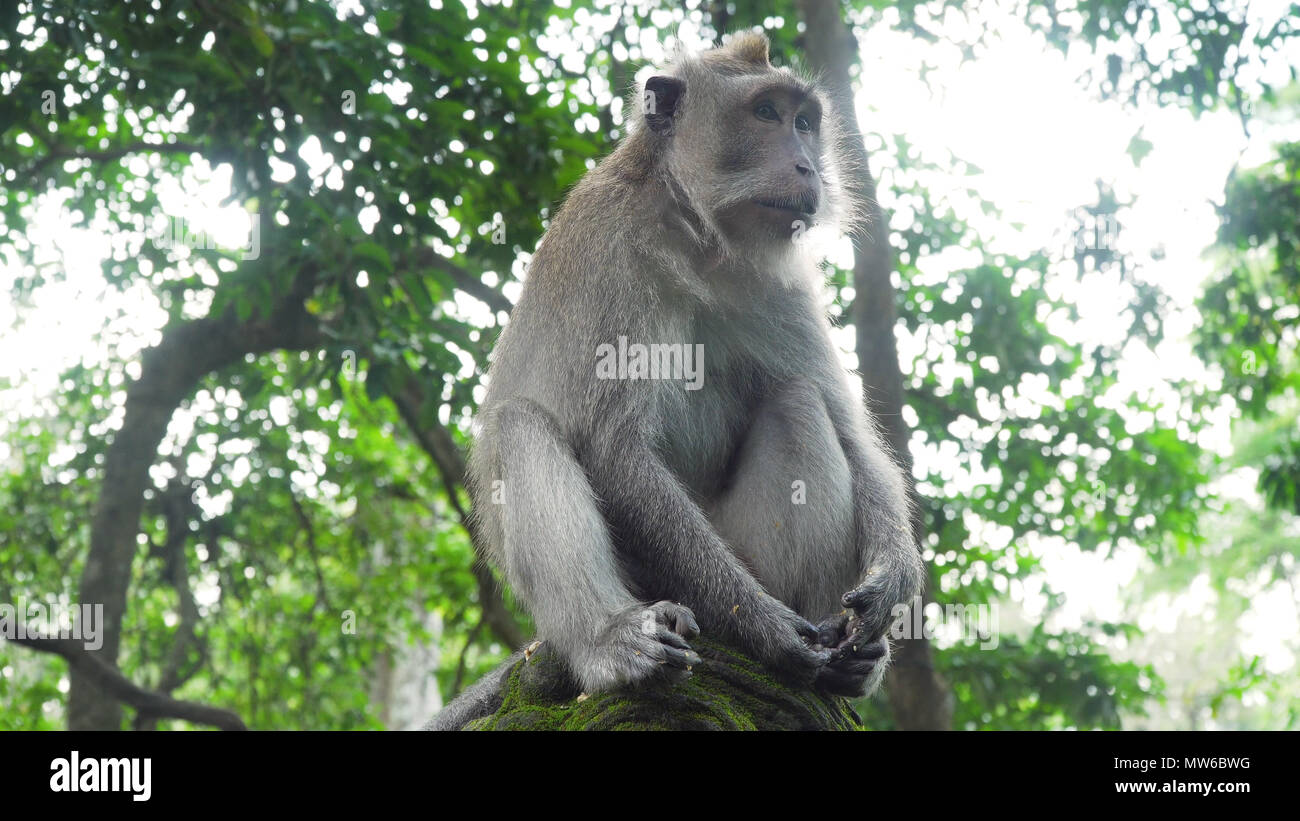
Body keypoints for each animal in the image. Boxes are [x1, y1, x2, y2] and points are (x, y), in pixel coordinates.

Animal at [428, 31, 923, 729]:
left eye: (805, 122)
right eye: (765, 114)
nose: (809, 167)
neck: (700, 236)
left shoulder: (787, 286)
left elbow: (854, 436)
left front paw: (892, 580)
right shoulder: (610, 250)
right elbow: (613, 450)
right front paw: (766, 627)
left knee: (799, 402)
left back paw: (838, 656)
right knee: (518, 424)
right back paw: (614, 644)